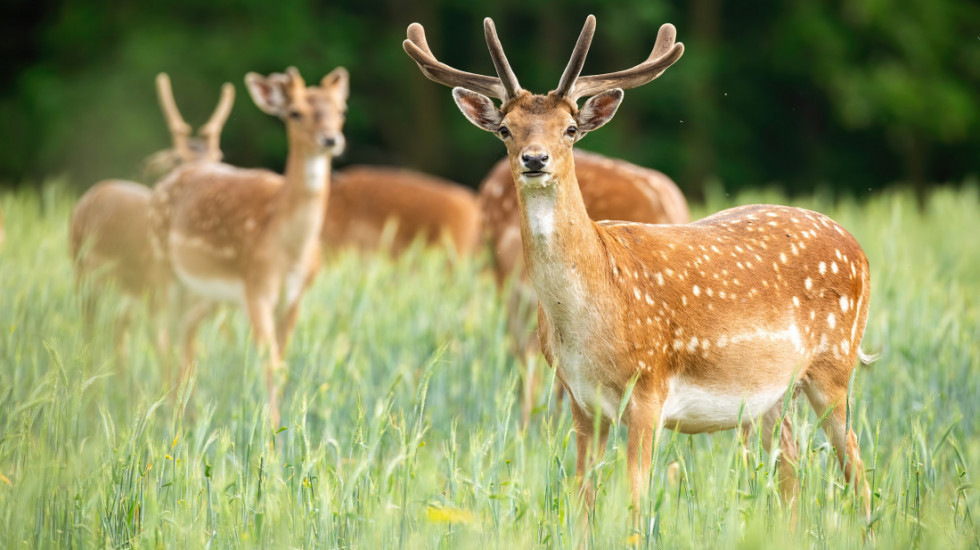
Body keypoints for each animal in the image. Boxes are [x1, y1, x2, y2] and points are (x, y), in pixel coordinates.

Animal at [69, 71, 235, 368]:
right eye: (177, 159)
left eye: (218, 156)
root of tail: (93, 191)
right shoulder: (160, 294)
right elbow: (165, 355)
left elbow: (187, 359)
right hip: (83, 270)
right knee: (90, 327)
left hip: (128, 293)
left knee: (117, 331)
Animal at [151, 66, 350, 426]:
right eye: (295, 112)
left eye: (341, 111)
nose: (330, 139)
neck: (289, 249)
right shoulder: (257, 287)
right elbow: (268, 363)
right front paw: (272, 432)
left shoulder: (295, 295)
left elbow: (282, 363)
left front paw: (285, 426)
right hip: (163, 266)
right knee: (162, 334)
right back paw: (169, 414)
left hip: (208, 294)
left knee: (185, 331)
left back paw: (187, 413)